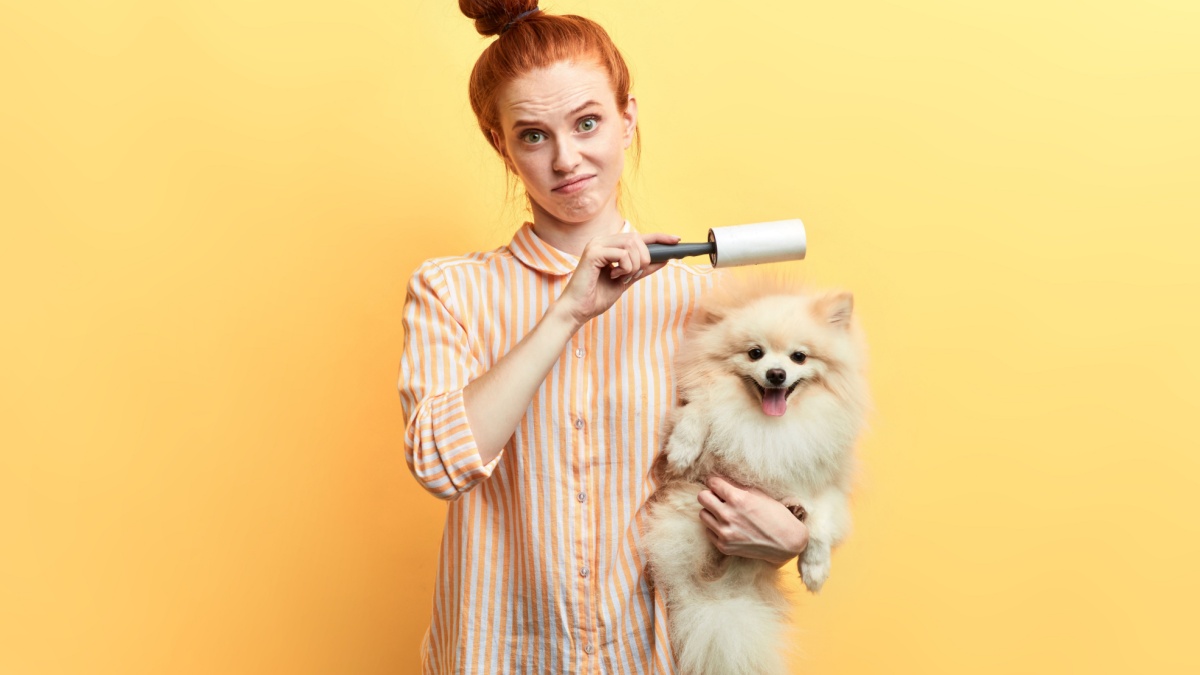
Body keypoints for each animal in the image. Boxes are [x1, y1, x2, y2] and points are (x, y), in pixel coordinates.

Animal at [643, 275, 868, 672]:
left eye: (798, 356)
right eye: (755, 353)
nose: (776, 374)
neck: (769, 423)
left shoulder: (829, 478)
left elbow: (822, 524)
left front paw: (815, 568)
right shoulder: (706, 414)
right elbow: (701, 408)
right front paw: (683, 448)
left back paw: (794, 510)